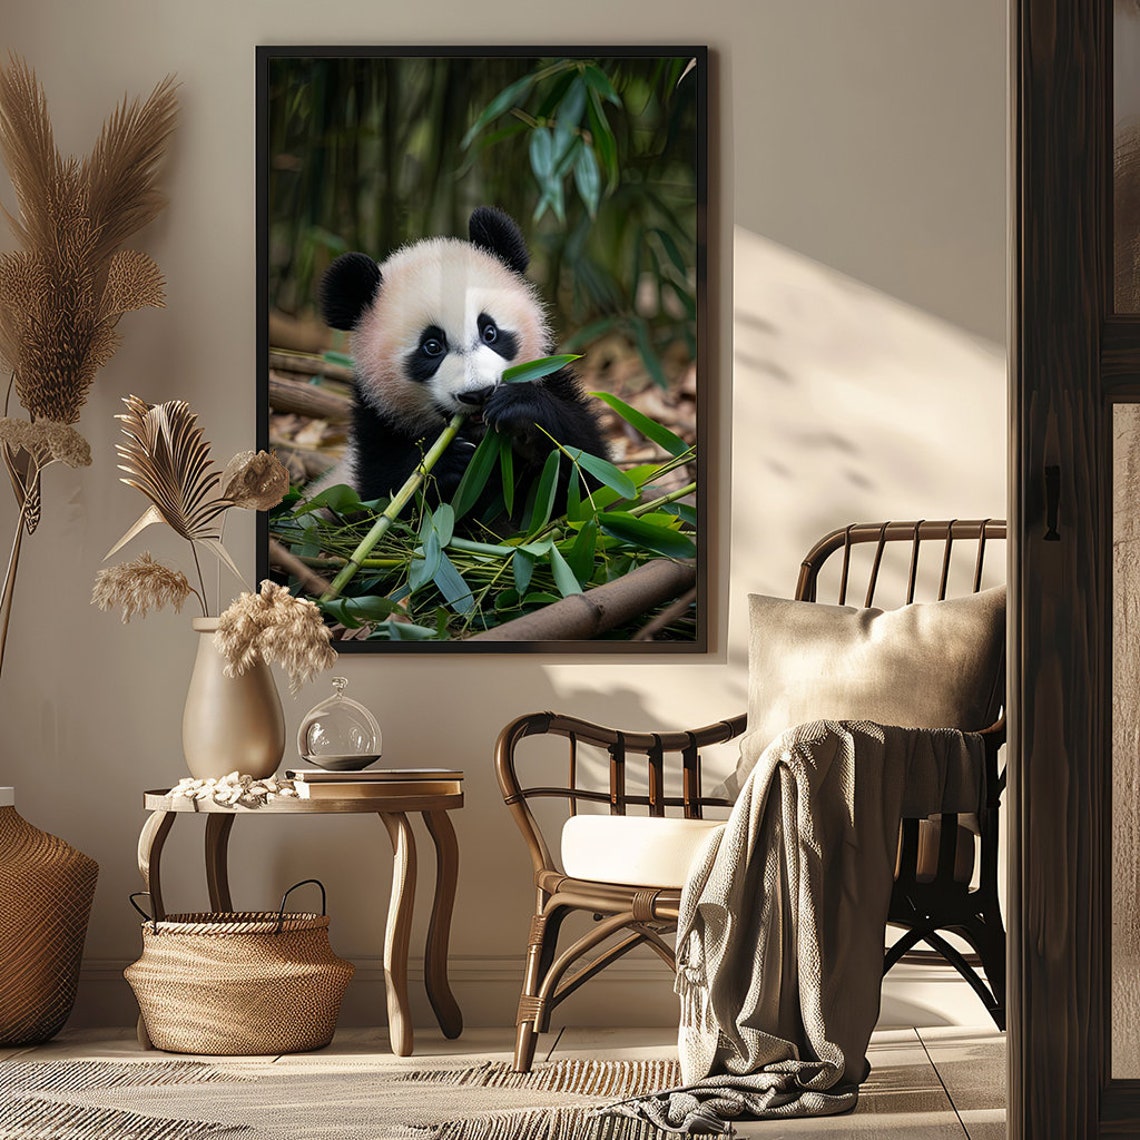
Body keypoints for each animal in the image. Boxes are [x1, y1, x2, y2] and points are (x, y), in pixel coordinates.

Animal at [317, 206, 608, 516]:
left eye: (489, 332)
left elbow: (588, 475)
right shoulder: (373, 426)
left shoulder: (553, 379)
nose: (478, 393)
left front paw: (521, 410)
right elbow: (383, 496)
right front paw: (447, 459)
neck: (479, 438)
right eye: (432, 347)